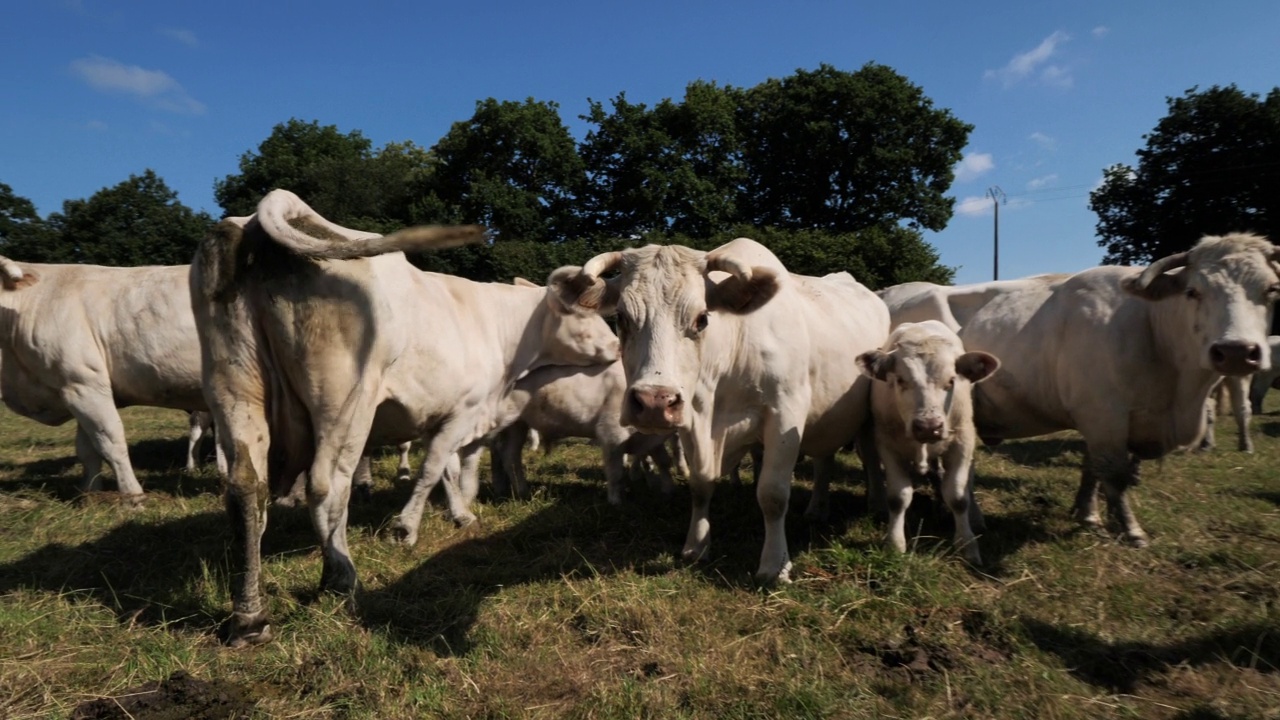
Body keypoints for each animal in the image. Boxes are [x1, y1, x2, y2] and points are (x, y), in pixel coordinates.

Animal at [0, 252, 207, 491]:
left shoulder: (84, 383)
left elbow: (111, 441)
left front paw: (132, 493)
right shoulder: (74, 391)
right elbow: (87, 450)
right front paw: (91, 492)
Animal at [188, 189, 619, 645]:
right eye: (587, 312)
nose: (616, 348)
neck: (501, 332)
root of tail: (257, 219)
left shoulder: (440, 413)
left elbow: (447, 470)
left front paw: (460, 514)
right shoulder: (462, 410)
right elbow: (432, 470)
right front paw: (406, 528)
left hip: (234, 382)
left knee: (245, 487)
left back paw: (249, 618)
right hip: (345, 399)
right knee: (328, 484)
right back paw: (340, 578)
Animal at [547, 238, 890, 579]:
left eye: (702, 318)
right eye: (620, 317)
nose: (654, 402)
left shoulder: (785, 413)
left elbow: (773, 493)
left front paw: (774, 565)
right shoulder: (692, 418)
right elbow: (700, 484)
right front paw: (696, 546)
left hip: (865, 419)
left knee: (868, 459)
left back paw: (875, 504)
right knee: (823, 460)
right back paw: (818, 508)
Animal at [860, 317, 998, 561]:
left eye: (951, 380)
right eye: (900, 380)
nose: (928, 427)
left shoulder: (963, 442)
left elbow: (958, 497)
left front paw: (967, 544)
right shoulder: (887, 445)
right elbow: (898, 497)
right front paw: (894, 543)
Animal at [880, 234, 1280, 543]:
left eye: (1272, 289)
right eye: (1193, 291)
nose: (1235, 351)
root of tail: (893, 291)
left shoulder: (1106, 419)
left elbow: (1093, 470)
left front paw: (1088, 515)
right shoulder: (1103, 414)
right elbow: (1114, 474)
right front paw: (1131, 530)